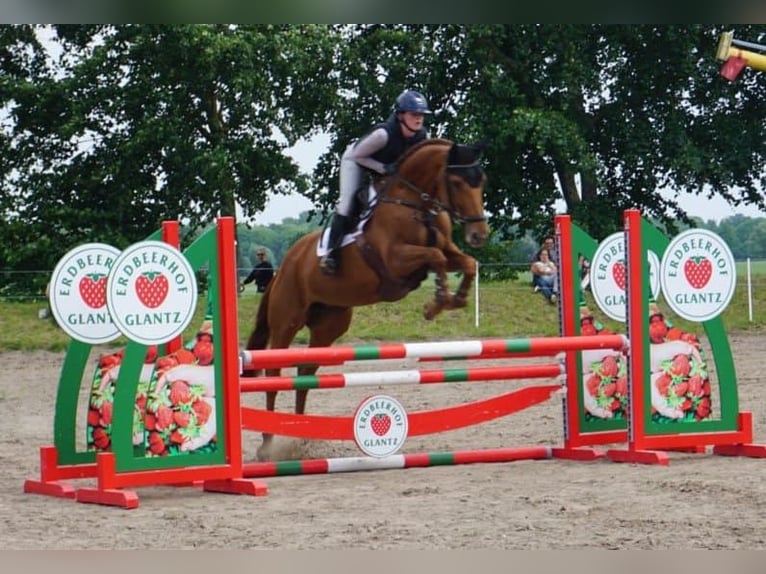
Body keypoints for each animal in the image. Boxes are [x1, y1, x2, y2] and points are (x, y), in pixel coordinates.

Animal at [248, 137, 492, 462]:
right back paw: (268, 443)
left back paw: (300, 438)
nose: (479, 234)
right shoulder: (397, 260)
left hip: (329, 325)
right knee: (274, 373)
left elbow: (466, 263)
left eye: (482, 181)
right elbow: (436, 257)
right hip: (286, 321)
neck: (416, 202)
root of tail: (284, 266)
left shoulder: (445, 251)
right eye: (456, 182)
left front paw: (456, 298)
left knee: (305, 374)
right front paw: (437, 302)